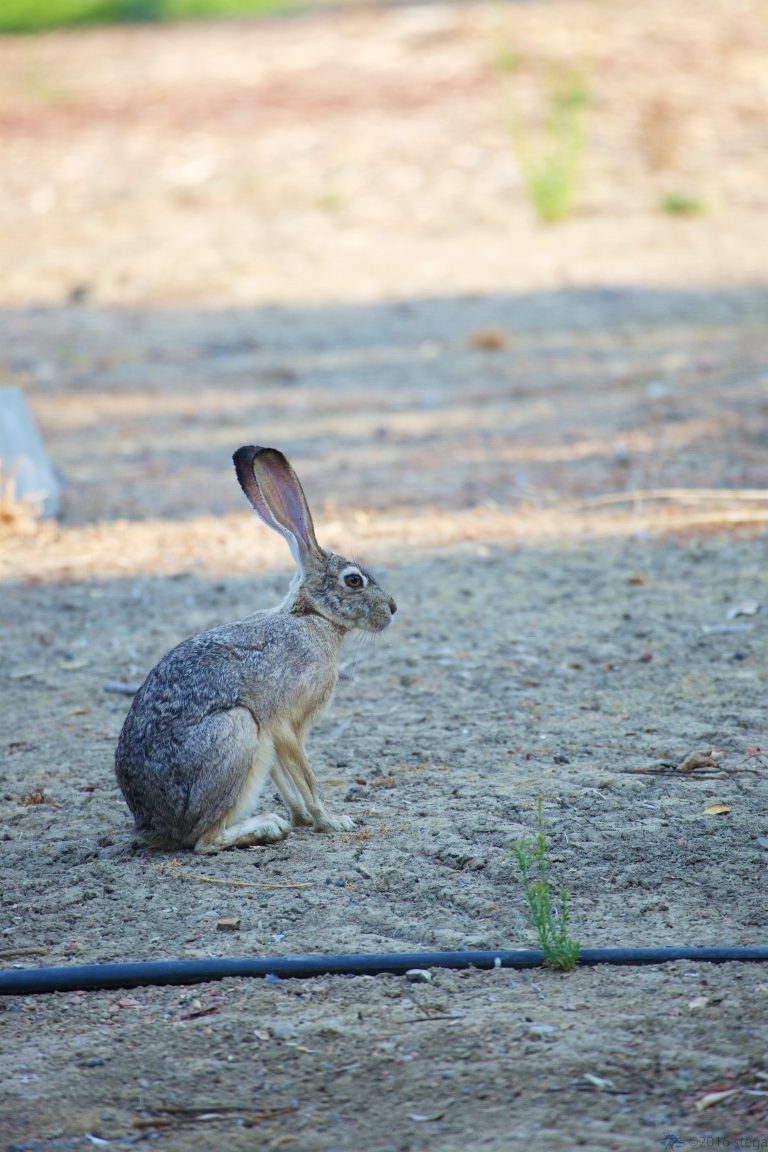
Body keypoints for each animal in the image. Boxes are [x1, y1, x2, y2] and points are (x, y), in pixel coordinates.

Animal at [115, 445, 397, 853]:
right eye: (354, 580)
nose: (392, 608)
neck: (312, 616)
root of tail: (150, 824)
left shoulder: (272, 738)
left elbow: (285, 778)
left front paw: (303, 818)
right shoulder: (284, 724)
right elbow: (306, 776)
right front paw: (332, 820)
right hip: (238, 730)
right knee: (204, 840)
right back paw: (266, 827)